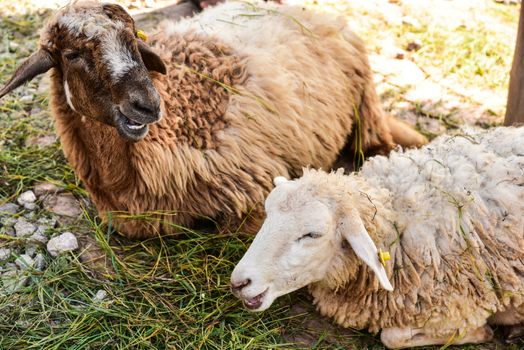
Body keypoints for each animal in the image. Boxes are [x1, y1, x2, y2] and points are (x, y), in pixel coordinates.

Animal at [0, 0, 426, 238]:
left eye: (134, 41)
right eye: (72, 55)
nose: (147, 105)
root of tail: (303, 9)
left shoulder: (253, 189)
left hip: (364, 109)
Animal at [231, 126, 524, 348]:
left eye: (312, 234)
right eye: (267, 213)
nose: (239, 282)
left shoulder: (458, 305)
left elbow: (392, 337)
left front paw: (481, 331)